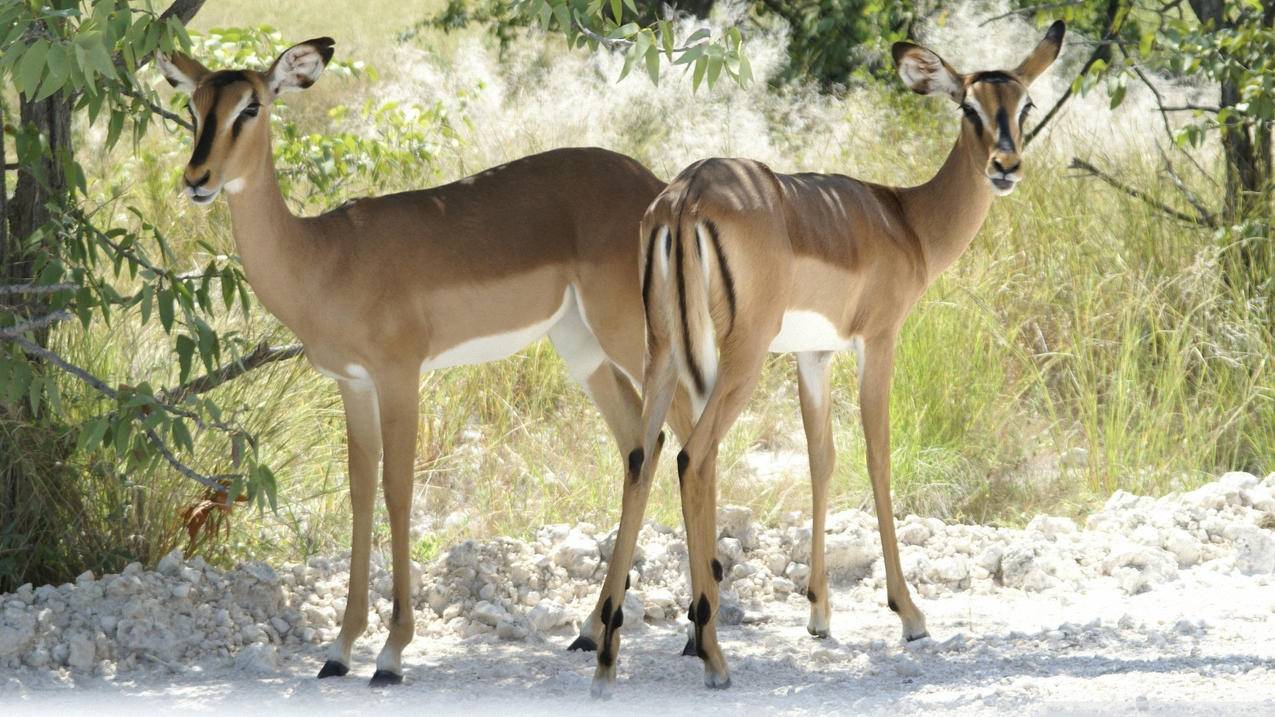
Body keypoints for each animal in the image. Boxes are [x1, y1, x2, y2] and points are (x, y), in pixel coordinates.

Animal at [160, 36, 703, 683]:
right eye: (193, 106)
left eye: (251, 106)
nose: (197, 179)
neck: (325, 258)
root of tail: (658, 190)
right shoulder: (352, 384)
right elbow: (361, 489)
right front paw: (339, 649)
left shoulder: (400, 376)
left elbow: (398, 489)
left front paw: (392, 654)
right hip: (581, 347)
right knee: (641, 447)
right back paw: (592, 628)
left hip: (634, 335)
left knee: (691, 432)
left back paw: (698, 635)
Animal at [583, 22, 1065, 694]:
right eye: (968, 107)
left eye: (1024, 105)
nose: (1006, 166)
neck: (904, 220)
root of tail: (684, 197)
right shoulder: (878, 342)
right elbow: (878, 458)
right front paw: (909, 614)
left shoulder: (812, 356)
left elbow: (821, 459)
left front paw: (818, 614)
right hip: (738, 360)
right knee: (692, 458)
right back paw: (711, 654)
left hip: (662, 354)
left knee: (640, 456)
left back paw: (608, 656)